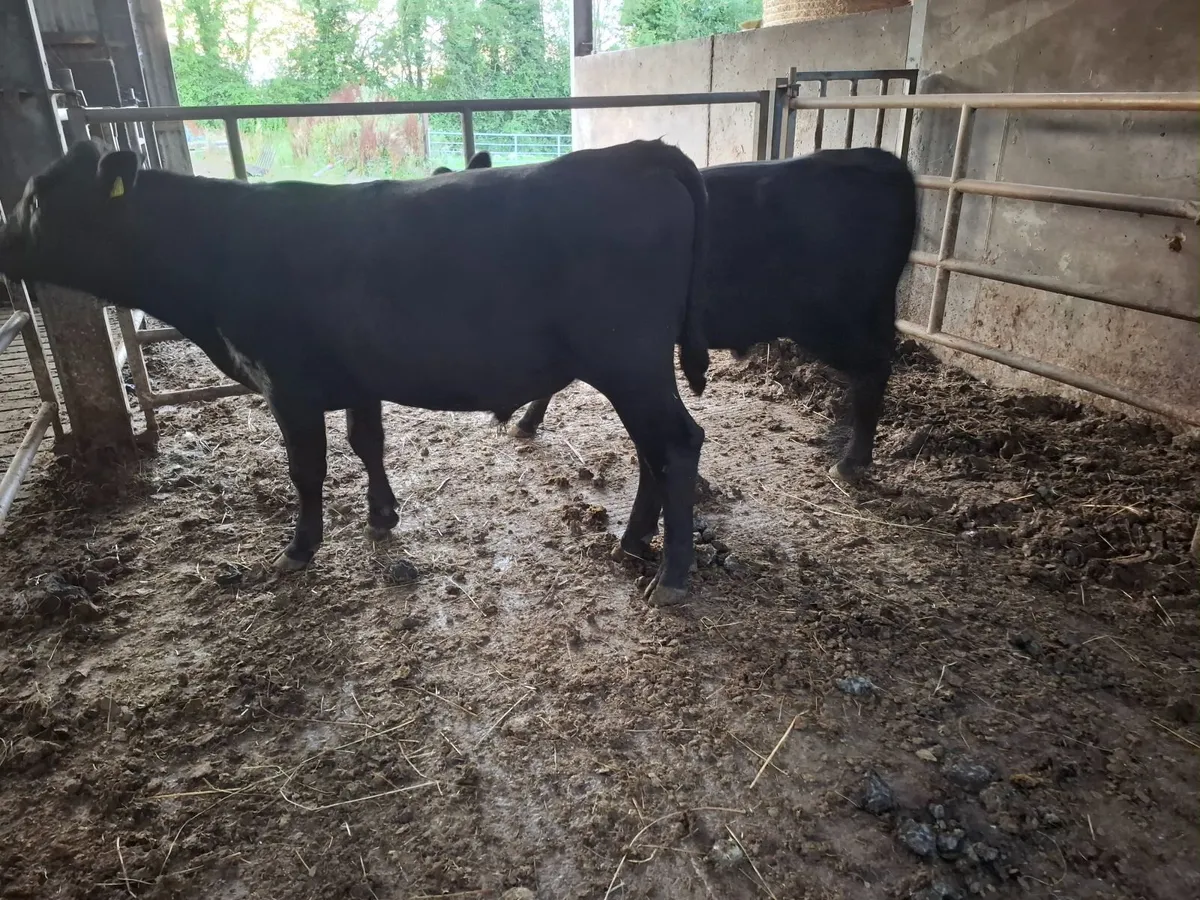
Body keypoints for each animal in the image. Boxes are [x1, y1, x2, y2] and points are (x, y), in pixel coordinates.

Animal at [0, 138, 711, 606]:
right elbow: (367, 443)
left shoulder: (286, 382)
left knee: (678, 442)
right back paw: (633, 541)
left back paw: (673, 576)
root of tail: (637, 151)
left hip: (629, 362)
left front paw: (300, 546)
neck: (220, 250)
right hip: (632, 370)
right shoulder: (358, 378)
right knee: (652, 451)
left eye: (36, 200)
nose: (3, 246)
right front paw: (382, 514)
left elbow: (307, 468)